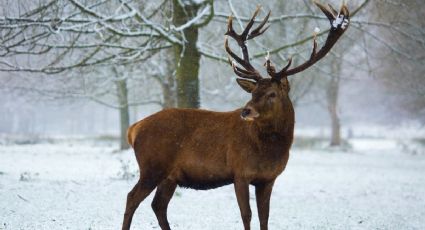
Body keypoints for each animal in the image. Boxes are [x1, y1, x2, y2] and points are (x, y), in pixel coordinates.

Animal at [121, 2, 348, 230]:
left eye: (272, 94)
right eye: (253, 92)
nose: (246, 111)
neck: (270, 151)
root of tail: (133, 129)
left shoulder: (268, 179)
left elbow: (265, 216)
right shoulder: (240, 172)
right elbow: (246, 214)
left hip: (170, 176)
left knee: (158, 205)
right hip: (152, 166)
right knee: (132, 197)